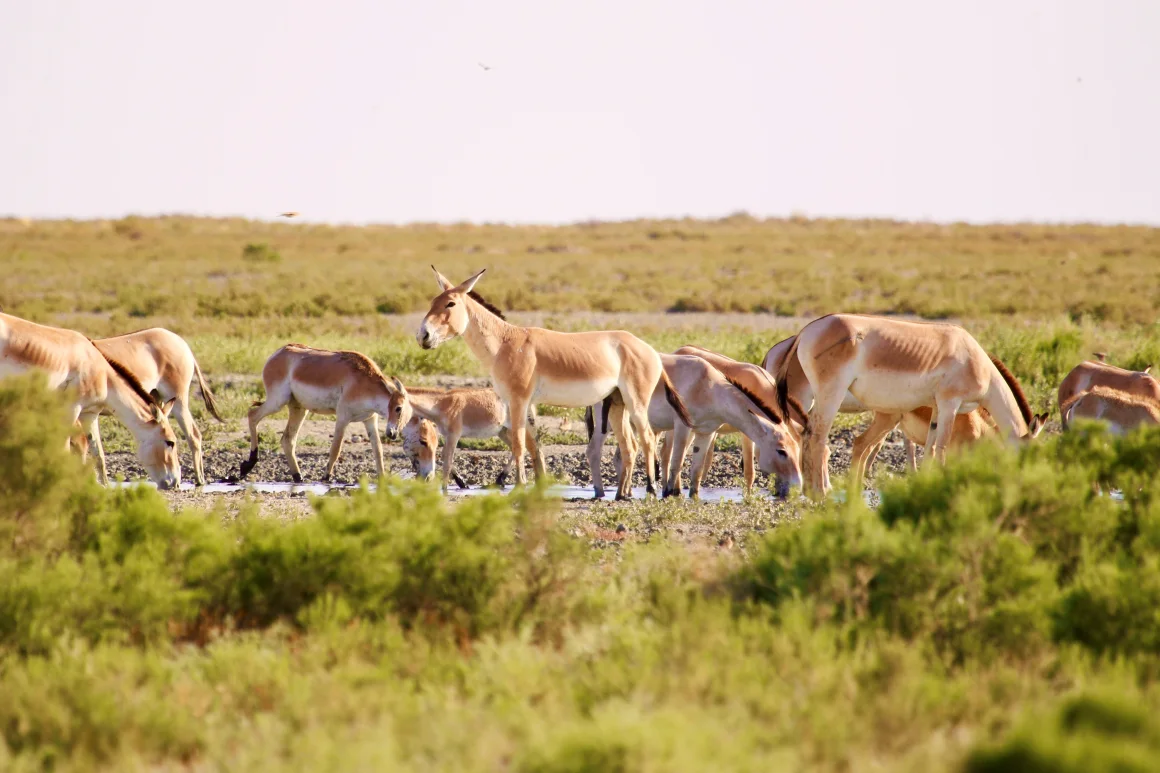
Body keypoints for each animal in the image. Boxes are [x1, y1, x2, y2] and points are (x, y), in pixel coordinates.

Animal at [0, 311, 180, 485]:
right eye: (170, 442)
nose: (175, 483)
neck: (103, 375)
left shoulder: (89, 413)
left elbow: (98, 455)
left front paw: (105, 488)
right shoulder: (71, 408)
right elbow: (64, 450)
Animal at [238, 343, 412, 482]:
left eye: (407, 412)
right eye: (398, 408)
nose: (392, 434)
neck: (364, 381)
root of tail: (279, 352)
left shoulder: (370, 420)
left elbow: (378, 450)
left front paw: (382, 478)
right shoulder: (342, 418)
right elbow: (335, 449)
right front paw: (326, 477)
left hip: (298, 408)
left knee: (287, 439)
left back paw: (298, 477)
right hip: (277, 402)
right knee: (252, 415)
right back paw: (249, 464)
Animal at [419, 268, 682, 496]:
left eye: (450, 303)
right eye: (432, 301)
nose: (423, 335)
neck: (506, 343)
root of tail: (650, 350)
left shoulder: (519, 401)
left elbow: (519, 444)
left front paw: (519, 487)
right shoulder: (516, 403)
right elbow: (532, 445)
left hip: (637, 403)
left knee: (647, 439)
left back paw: (650, 491)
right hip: (618, 404)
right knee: (630, 445)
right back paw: (620, 495)